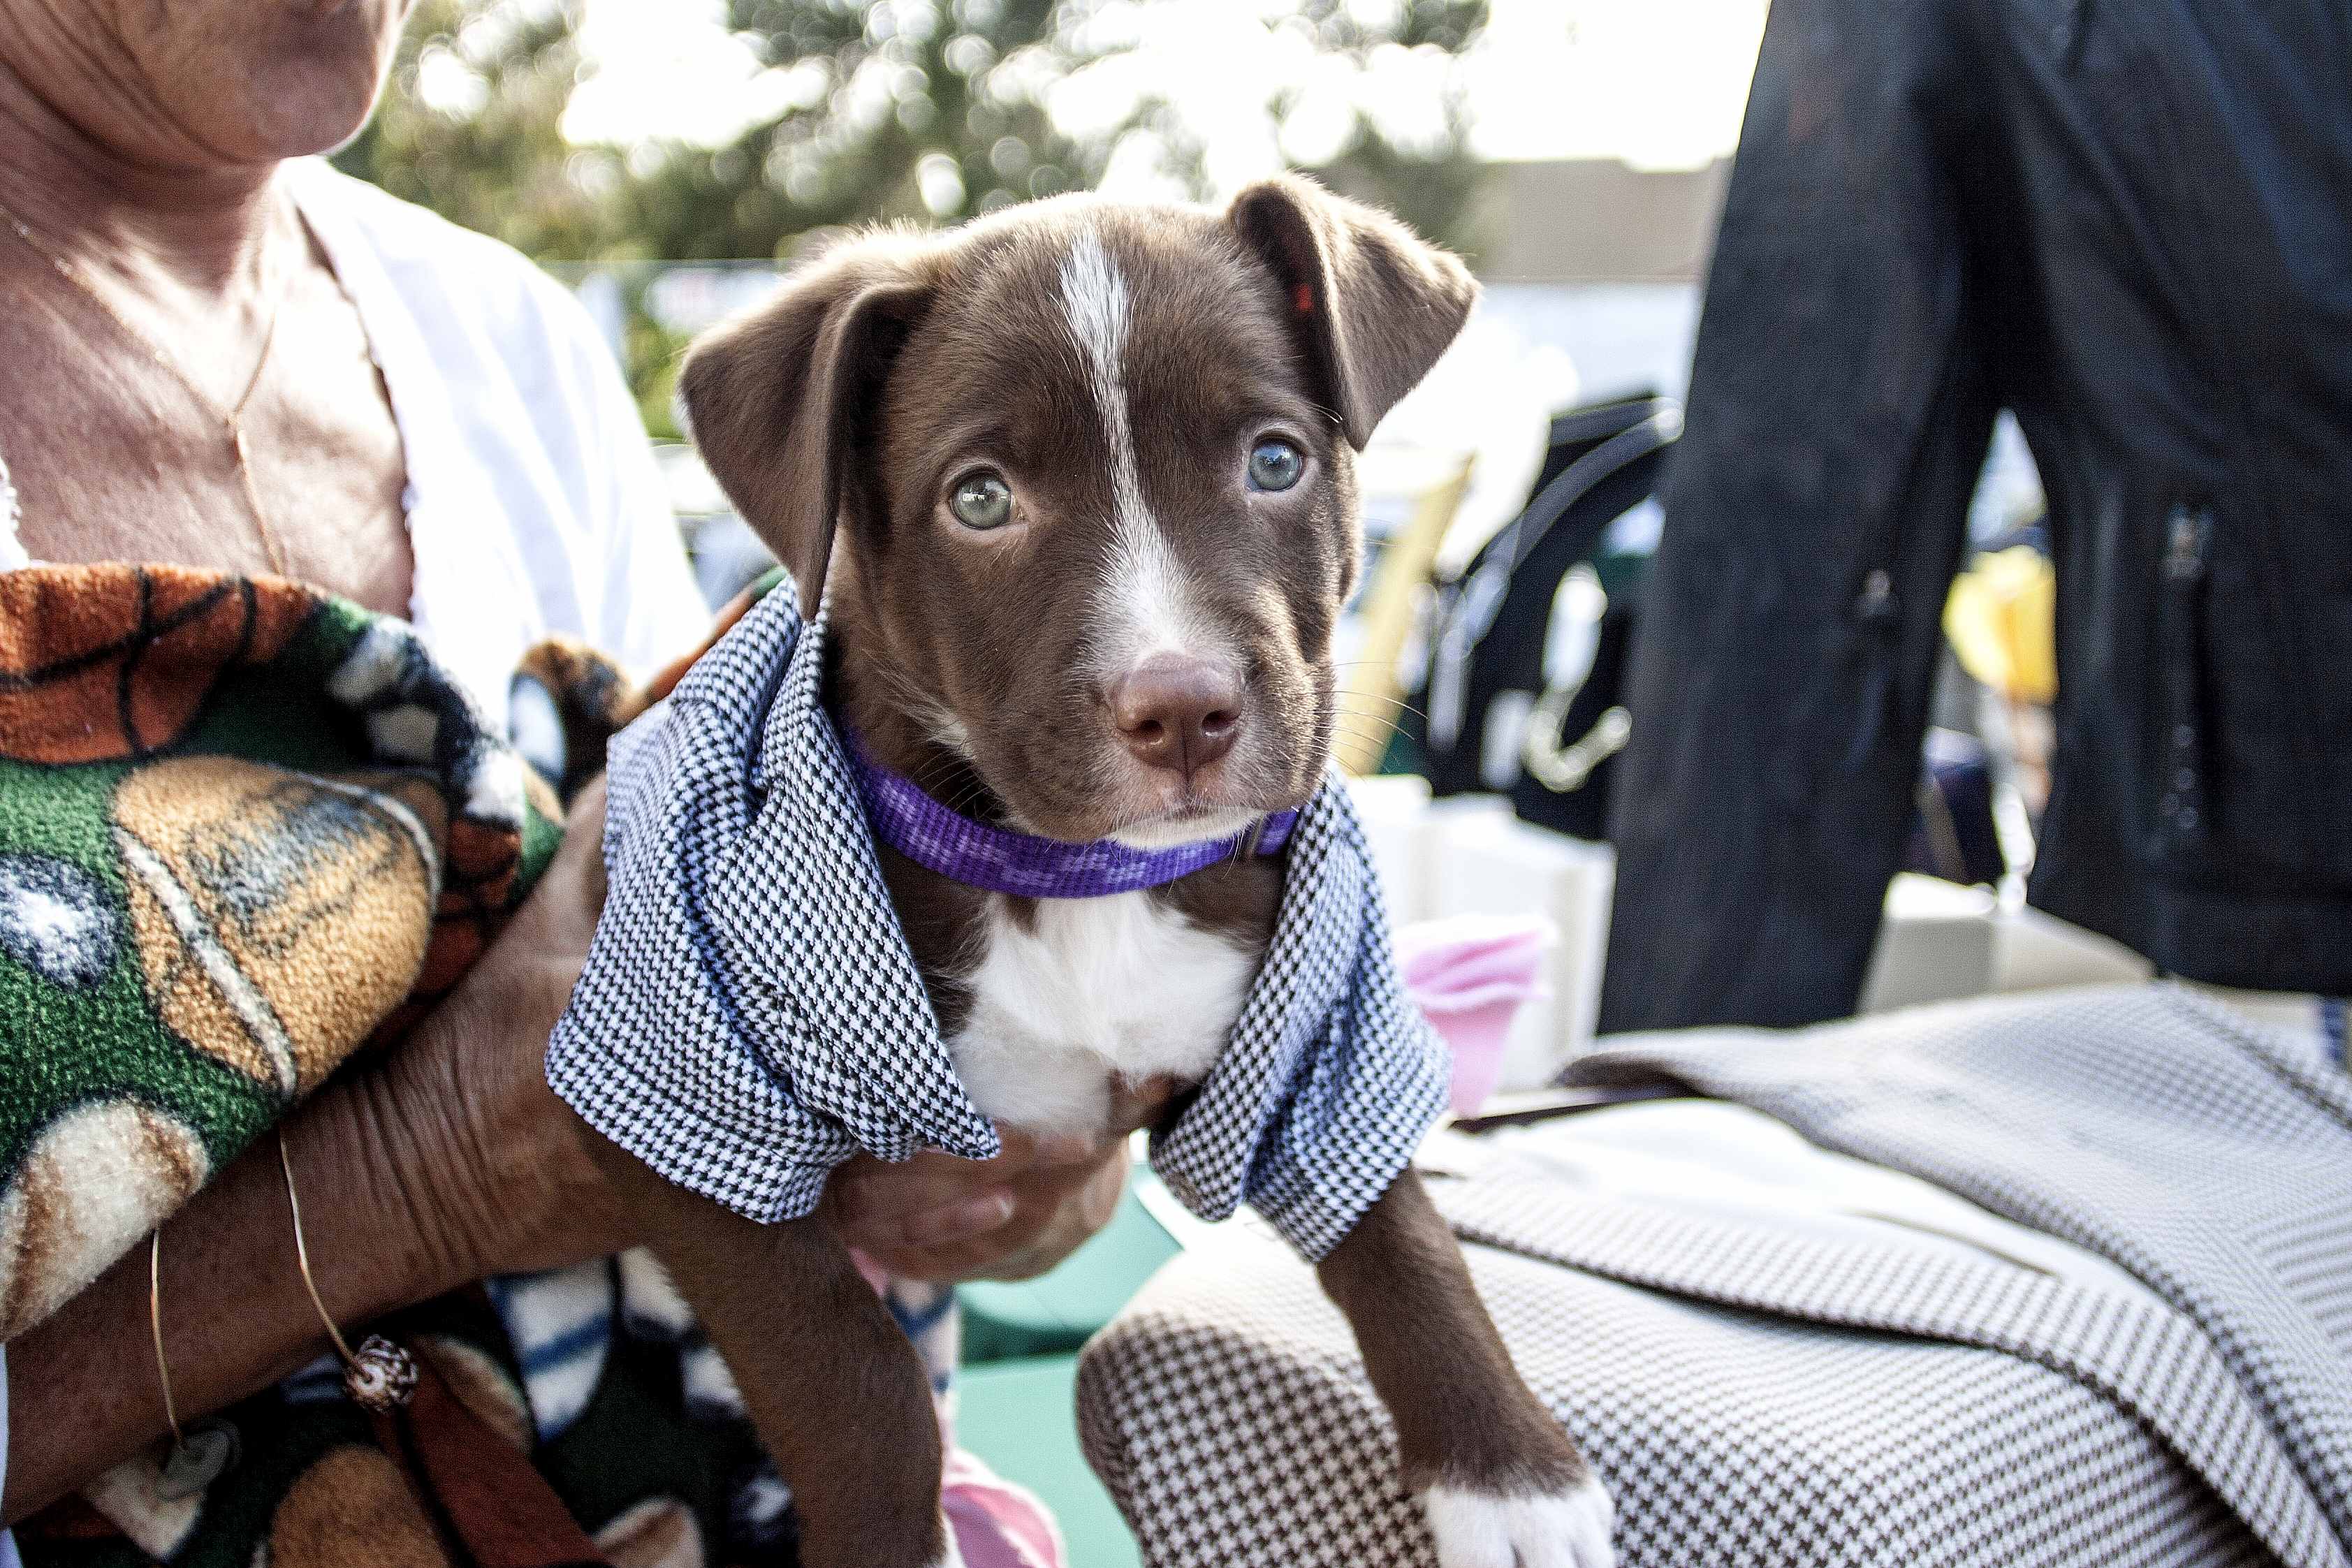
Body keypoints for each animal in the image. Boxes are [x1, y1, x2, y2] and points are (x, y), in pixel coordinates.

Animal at [592, 181, 1618, 1568]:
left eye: (1276, 461)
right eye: (979, 500)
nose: (1181, 709)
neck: (1075, 878)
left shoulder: (1322, 1012)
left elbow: (1403, 1231)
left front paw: (1509, 1480)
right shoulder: (686, 1090)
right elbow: (855, 1381)